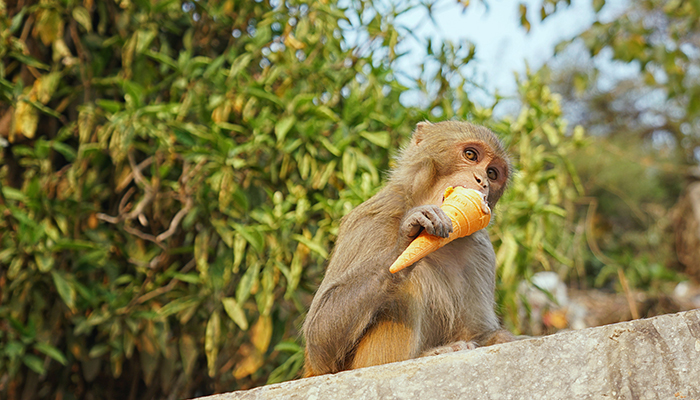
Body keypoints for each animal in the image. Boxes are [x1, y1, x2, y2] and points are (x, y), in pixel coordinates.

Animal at [300, 120, 516, 376]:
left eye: (493, 173)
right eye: (471, 155)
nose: (482, 180)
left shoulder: (482, 251)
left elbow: (480, 332)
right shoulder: (369, 222)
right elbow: (319, 341)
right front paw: (405, 242)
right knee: (408, 286)